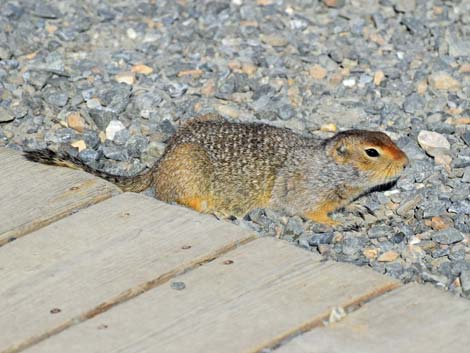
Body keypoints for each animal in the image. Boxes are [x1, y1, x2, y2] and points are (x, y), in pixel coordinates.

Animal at [24, 115, 408, 226]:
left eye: (388, 136)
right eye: (372, 152)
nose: (406, 162)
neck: (329, 167)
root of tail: (160, 163)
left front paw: (359, 208)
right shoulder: (307, 189)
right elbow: (309, 210)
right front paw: (336, 222)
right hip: (189, 174)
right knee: (177, 199)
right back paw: (216, 211)